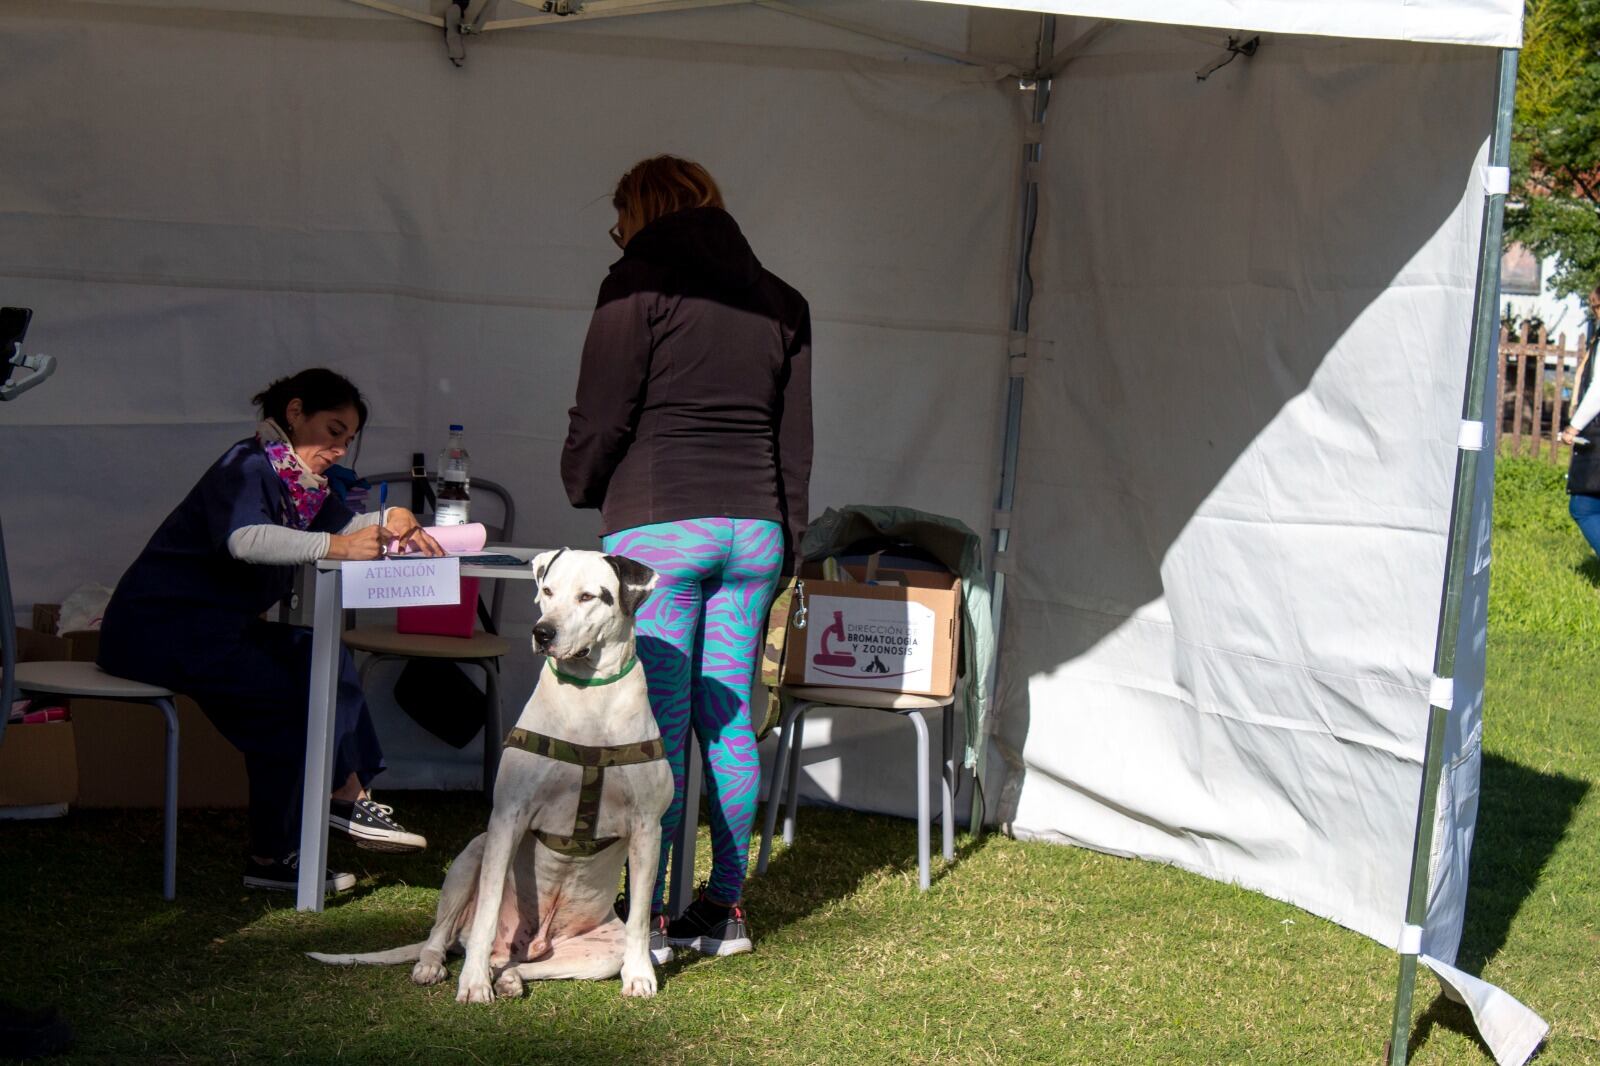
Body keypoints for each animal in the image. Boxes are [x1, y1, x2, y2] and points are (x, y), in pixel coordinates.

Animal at [308, 547, 672, 998]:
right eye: (548, 591)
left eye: (589, 596)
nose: (542, 633)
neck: (590, 702)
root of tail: (530, 942)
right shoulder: (507, 819)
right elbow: (487, 908)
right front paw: (474, 983)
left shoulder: (647, 829)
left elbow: (639, 915)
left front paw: (640, 974)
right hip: (472, 855)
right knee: (441, 934)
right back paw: (438, 965)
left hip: (600, 950)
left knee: (533, 963)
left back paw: (512, 977)